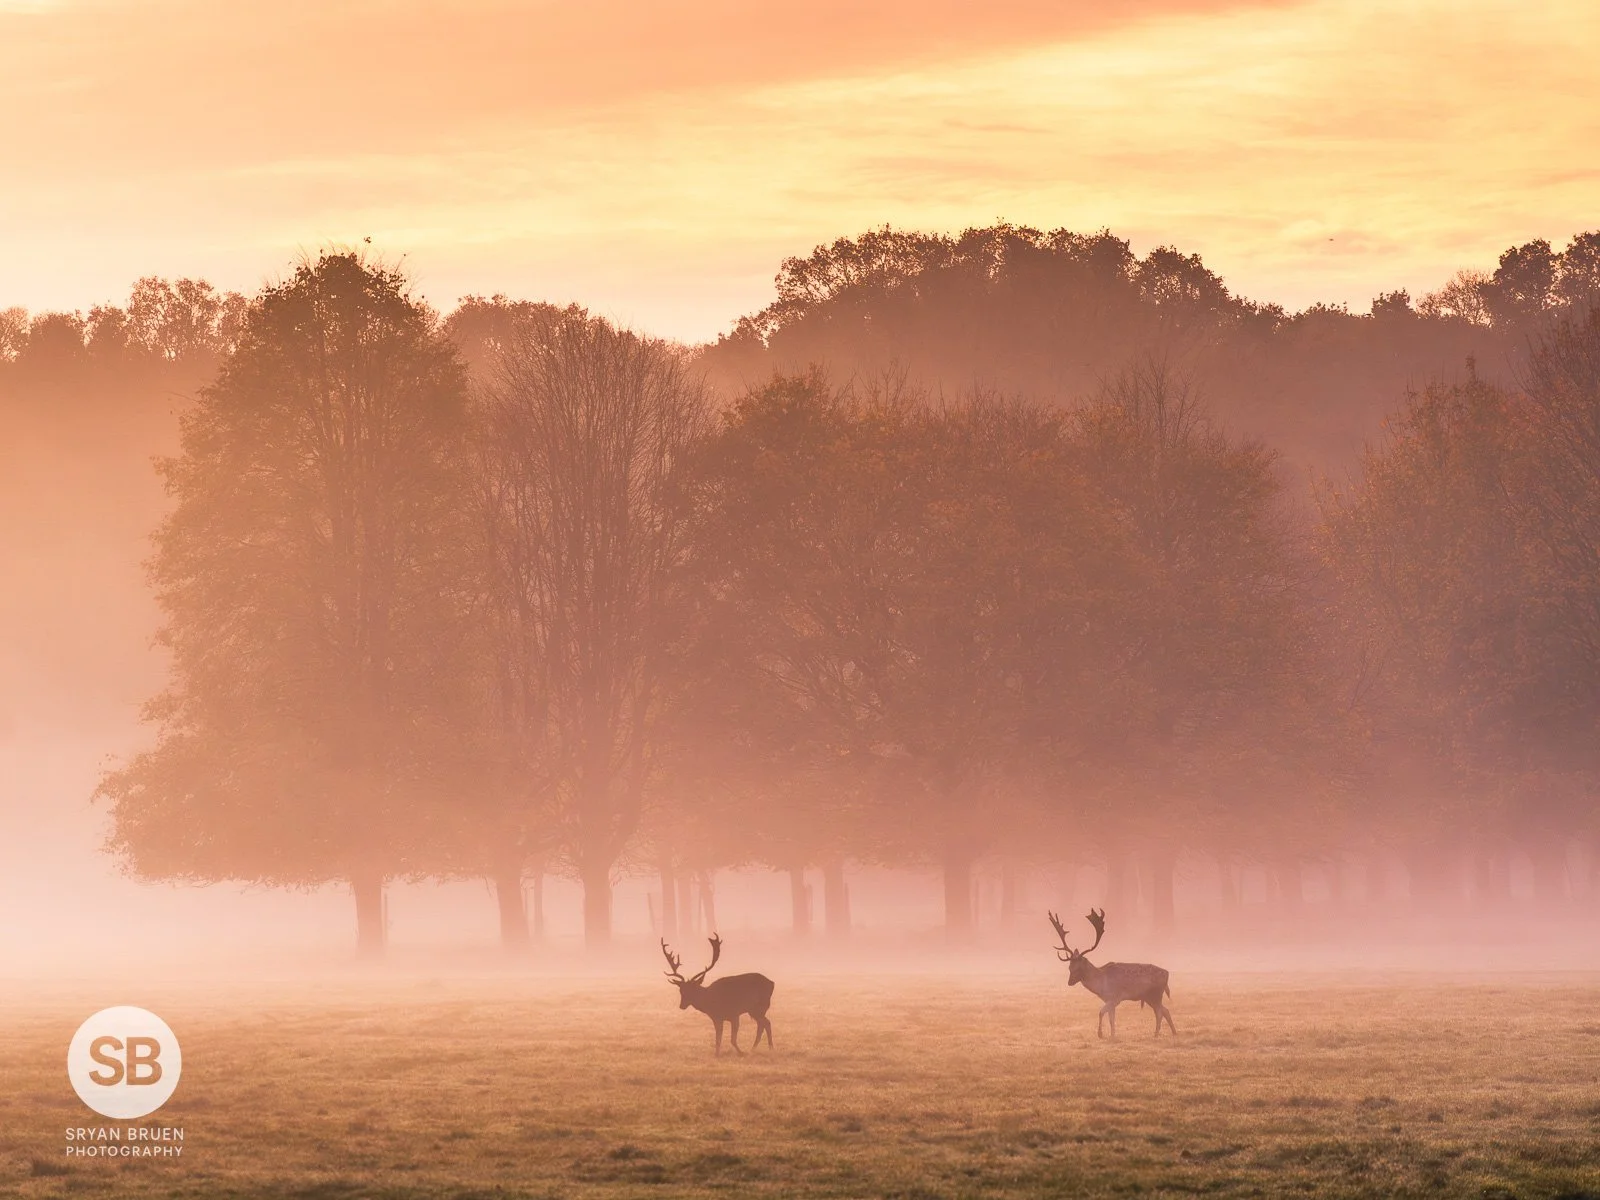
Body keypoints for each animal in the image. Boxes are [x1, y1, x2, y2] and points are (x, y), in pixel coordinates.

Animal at [1048, 908, 1175, 1039]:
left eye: (1079, 968)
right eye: (1069, 967)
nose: (1070, 982)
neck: (1101, 984)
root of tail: (1167, 974)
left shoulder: (1115, 997)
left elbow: (1101, 1013)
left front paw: (1100, 1034)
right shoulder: (1109, 1000)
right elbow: (1111, 1018)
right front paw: (1113, 1035)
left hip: (1156, 994)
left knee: (1159, 1012)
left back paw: (1156, 1034)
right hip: (1149, 996)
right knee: (1165, 1010)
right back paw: (1173, 1032)